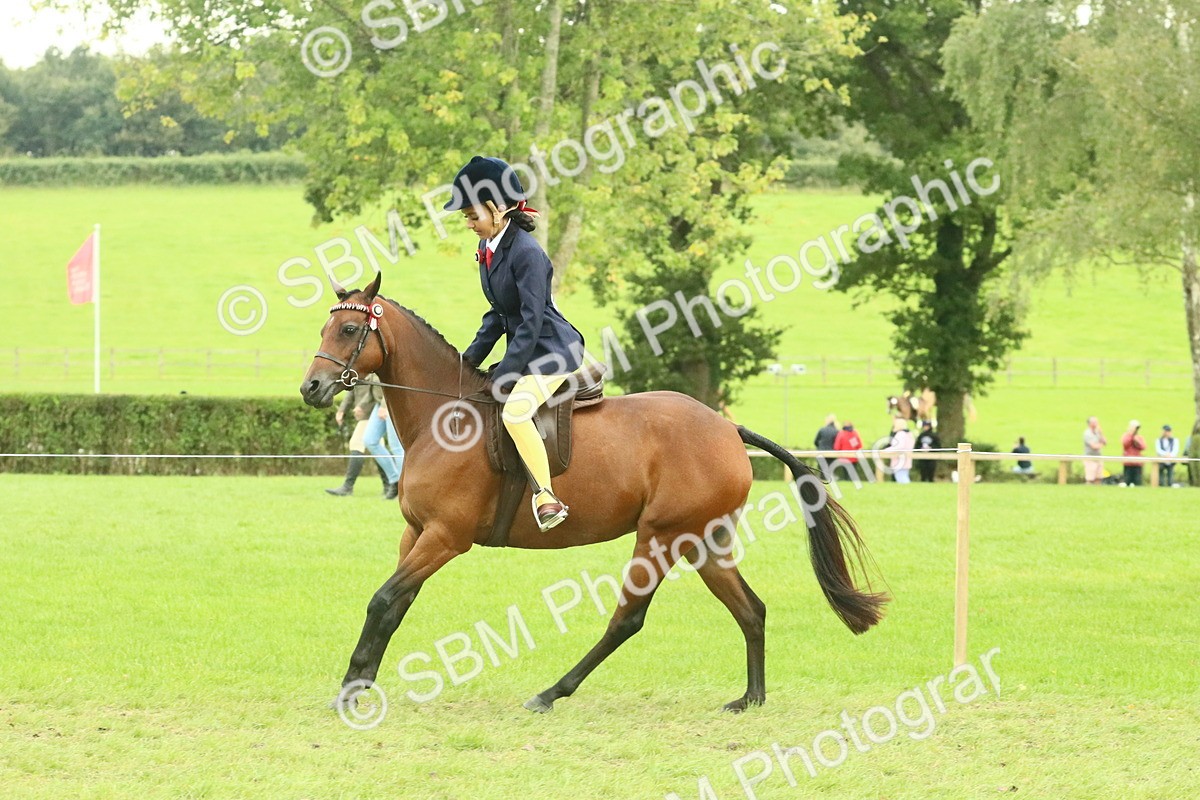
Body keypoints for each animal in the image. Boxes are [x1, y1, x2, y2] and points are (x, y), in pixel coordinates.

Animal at [300, 272, 888, 713]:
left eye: (349, 328)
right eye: (325, 327)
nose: (311, 388)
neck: (444, 416)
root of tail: (726, 428)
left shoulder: (445, 537)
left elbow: (383, 600)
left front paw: (350, 693)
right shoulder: (416, 533)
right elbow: (394, 605)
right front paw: (357, 685)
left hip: (661, 538)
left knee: (628, 619)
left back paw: (550, 693)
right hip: (704, 541)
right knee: (751, 610)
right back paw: (751, 699)